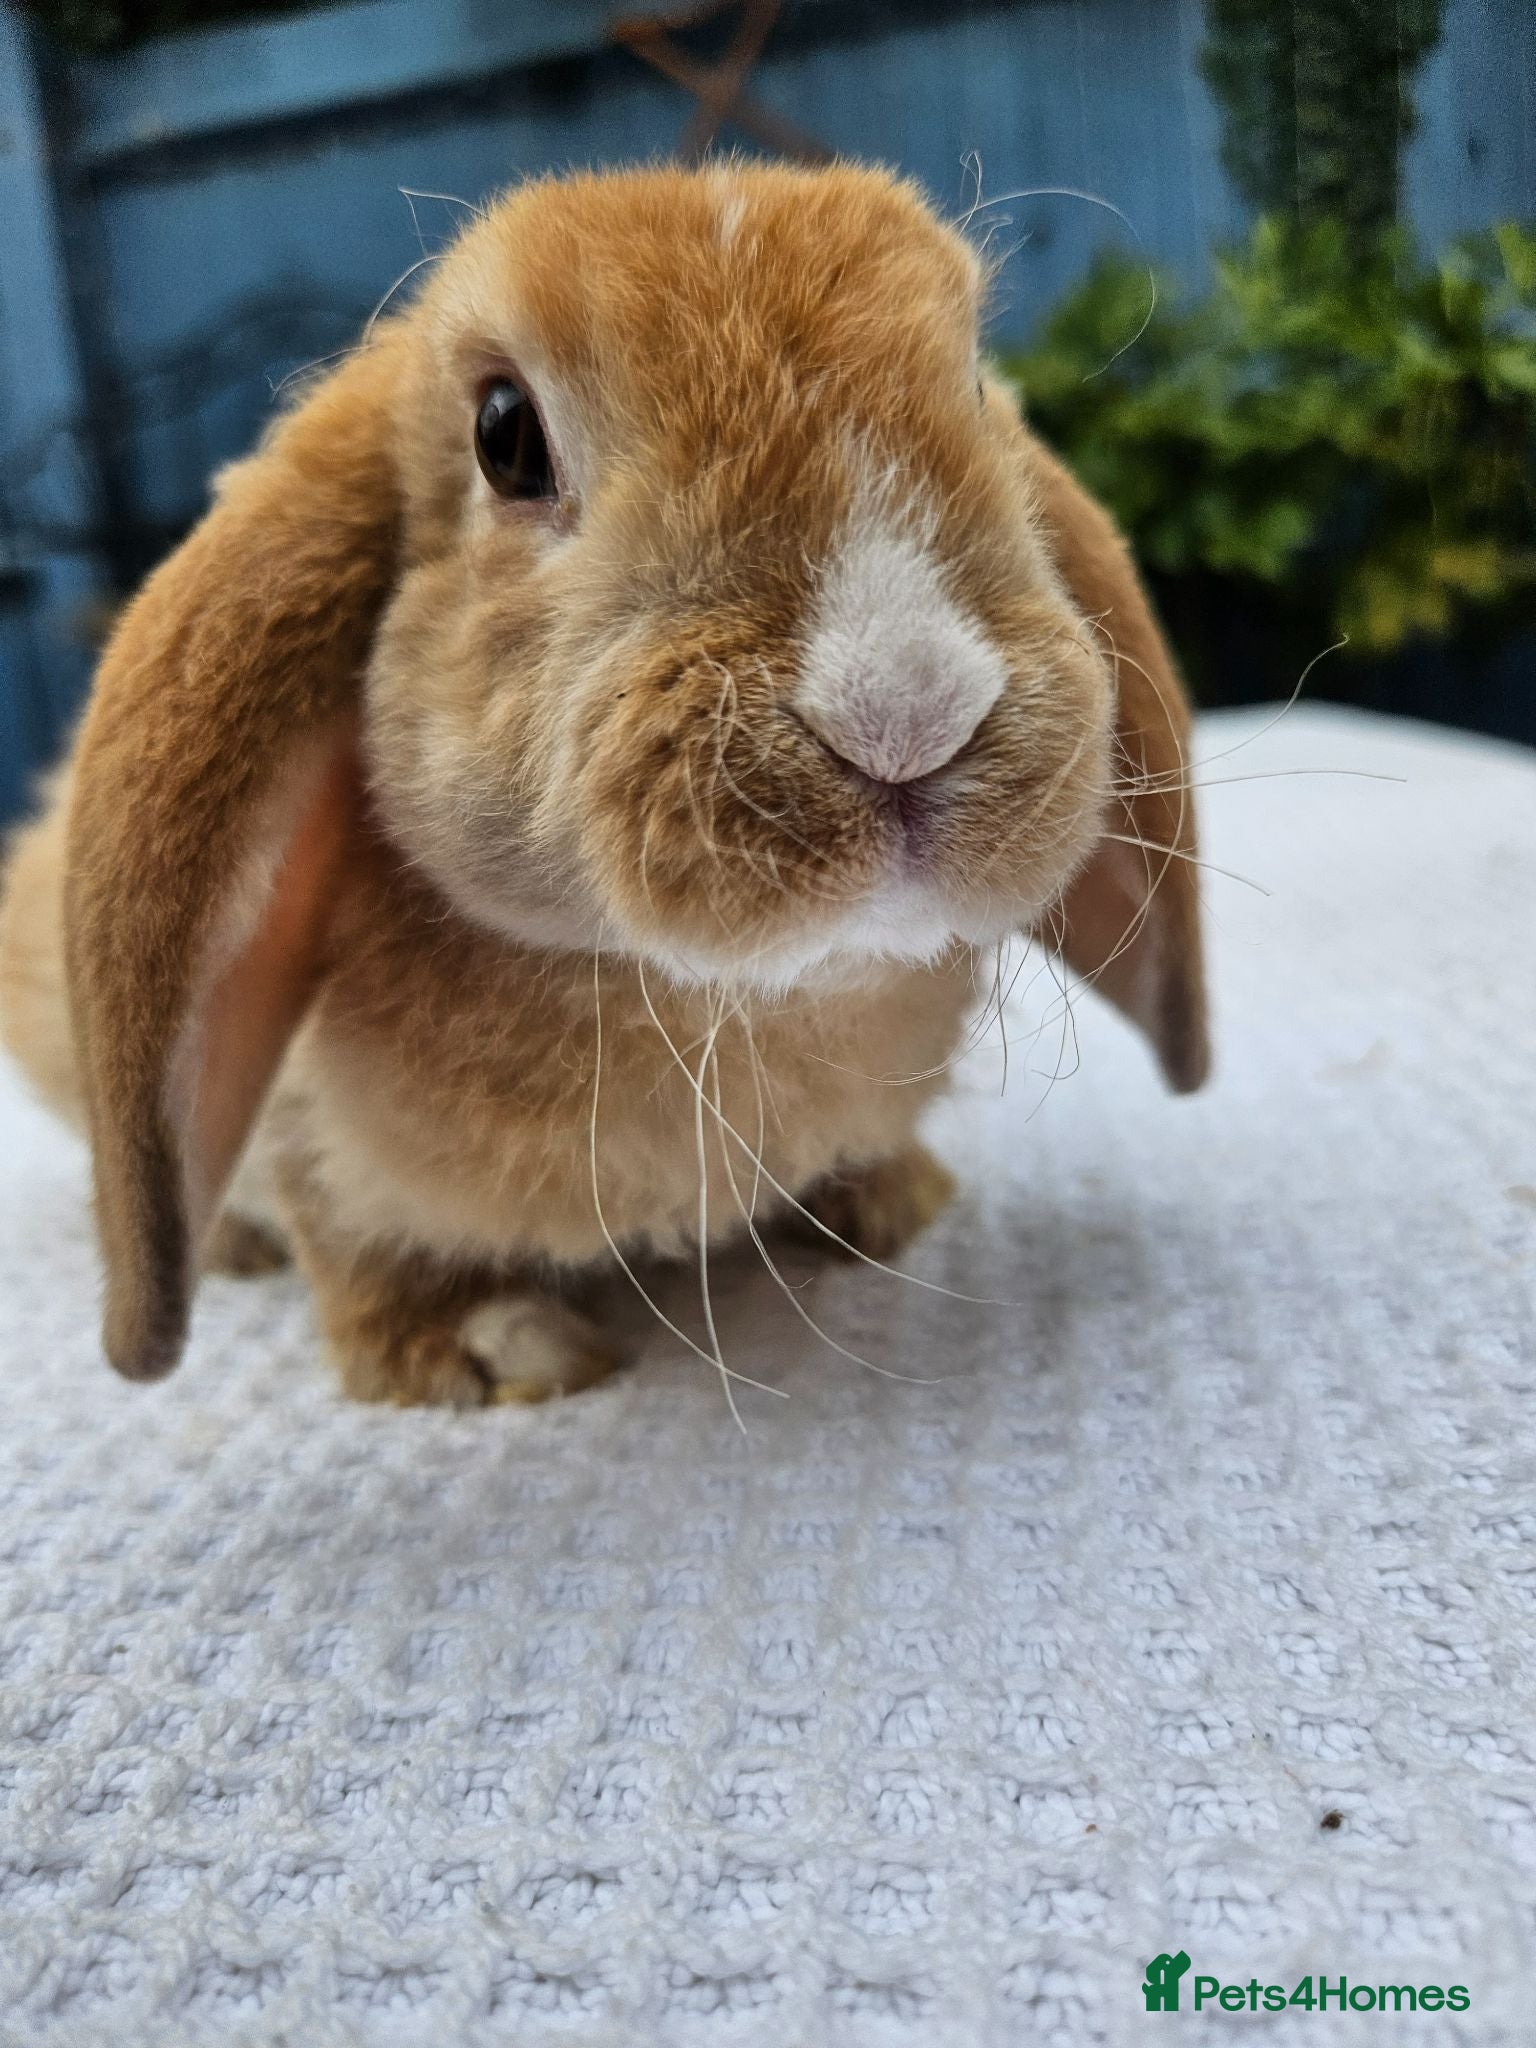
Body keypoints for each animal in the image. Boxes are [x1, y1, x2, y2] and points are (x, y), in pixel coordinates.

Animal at [0, 162, 1207, 1408]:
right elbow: (354, 1244)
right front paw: (486, 1345)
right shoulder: (312, 1148)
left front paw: (891, 1203)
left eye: (970, 380)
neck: (723, 1012)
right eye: (504, 435)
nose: (907, 709)